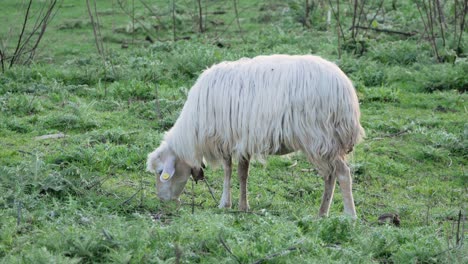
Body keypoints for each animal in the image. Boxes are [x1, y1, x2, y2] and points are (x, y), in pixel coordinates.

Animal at [148, 54, 364, 219]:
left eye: (160, 173)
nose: (162, 201)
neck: (193, 132)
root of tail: (345, 91)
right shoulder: (243, 141)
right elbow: (243, 174)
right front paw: (243, 206)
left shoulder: (225, 139)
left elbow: (228, 171)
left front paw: (225, 203)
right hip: (327, 143)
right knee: (330, 176)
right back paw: (322, 213)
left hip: (320, 137)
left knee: (342, 173)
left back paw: (350, 216)